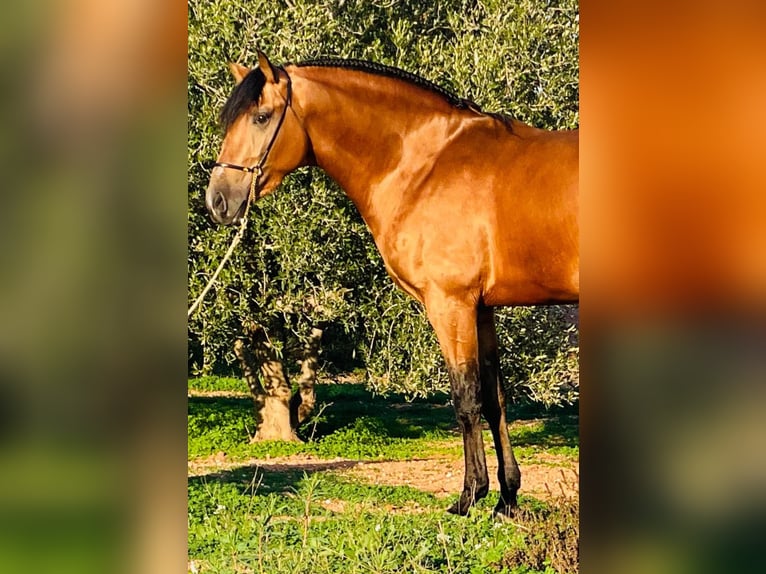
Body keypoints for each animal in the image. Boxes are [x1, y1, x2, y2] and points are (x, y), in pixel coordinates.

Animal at [207, 54, 580, 520]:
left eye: (261, 116)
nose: (218, 200)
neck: (424, 164)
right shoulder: (482, 308)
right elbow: (495, 399)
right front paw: (506, 499)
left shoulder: (450, 305)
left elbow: (466, 398)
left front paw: (469, 496)